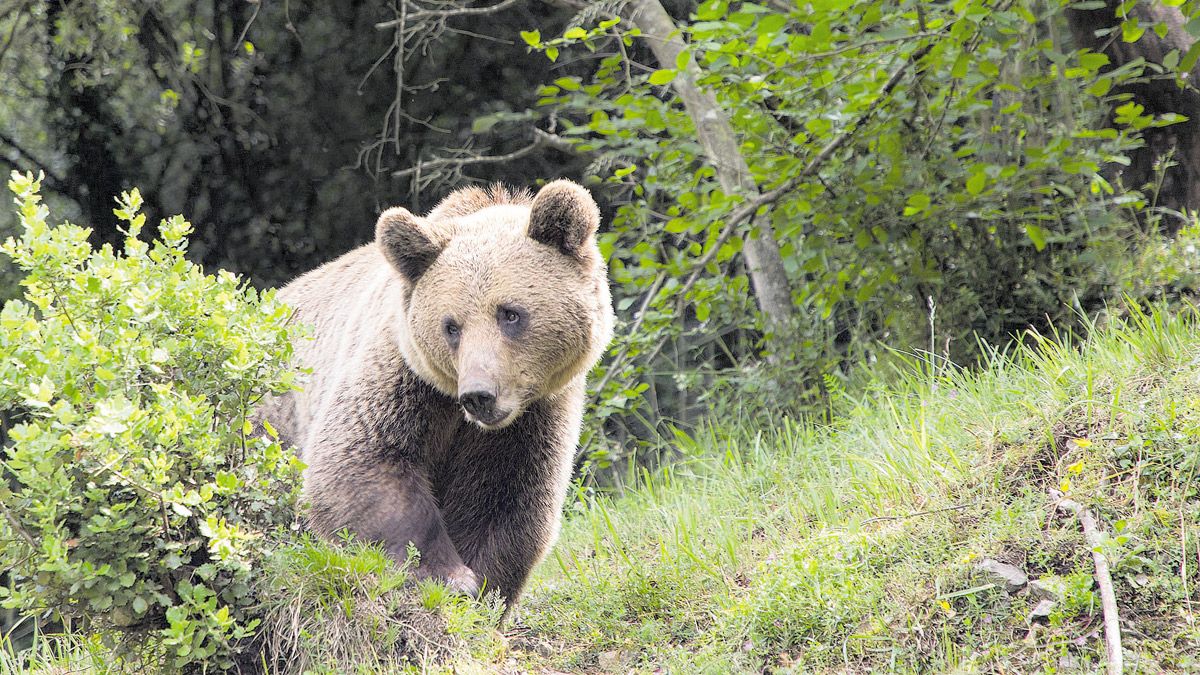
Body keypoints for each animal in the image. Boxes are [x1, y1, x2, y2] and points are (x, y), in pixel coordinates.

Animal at [261, 180, 614, 610]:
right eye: (451, 326)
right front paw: (448, 575)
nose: (479, 395)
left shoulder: (533, 417)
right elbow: (362, 461)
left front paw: (481, 587)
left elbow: (506, 499)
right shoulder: (404, 380)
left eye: (510, 313)